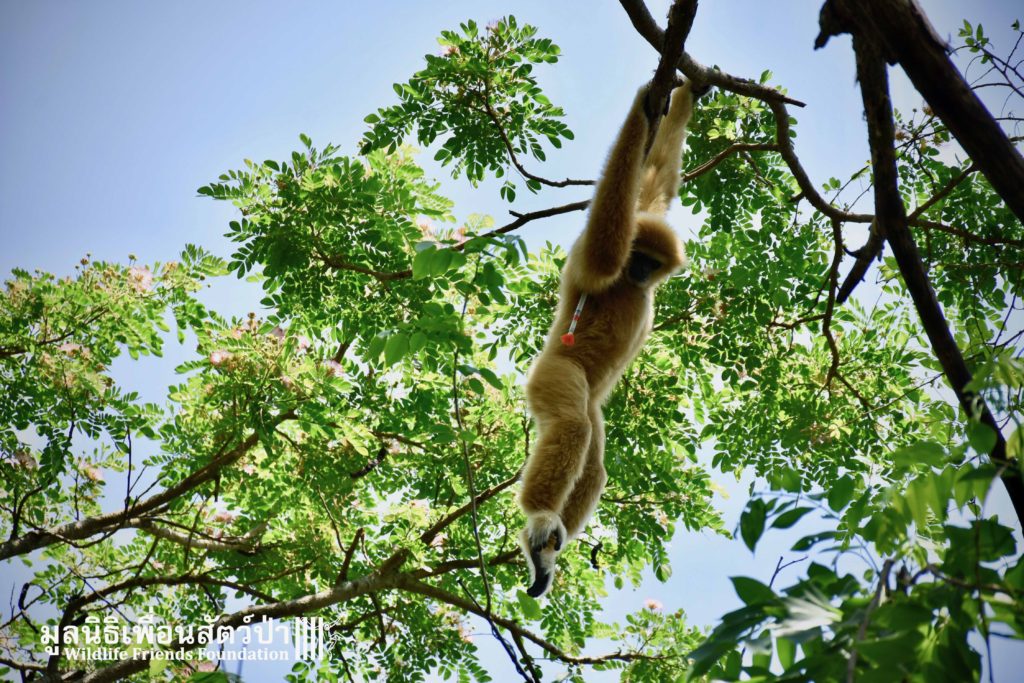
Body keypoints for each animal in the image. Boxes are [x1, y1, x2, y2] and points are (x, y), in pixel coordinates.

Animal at [518, 80, 695, 598]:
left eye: (652, 262)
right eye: (637, 256)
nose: (639, 271)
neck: (630, 286)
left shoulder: (644, 214)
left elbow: (655, 181)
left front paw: (686, 97)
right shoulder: (591, 264)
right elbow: (603, 245)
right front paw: (643, 105)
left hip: (592, 402)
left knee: (594, 465)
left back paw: (548, 553)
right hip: (555, 372)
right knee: (572, 427)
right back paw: (540, 522)